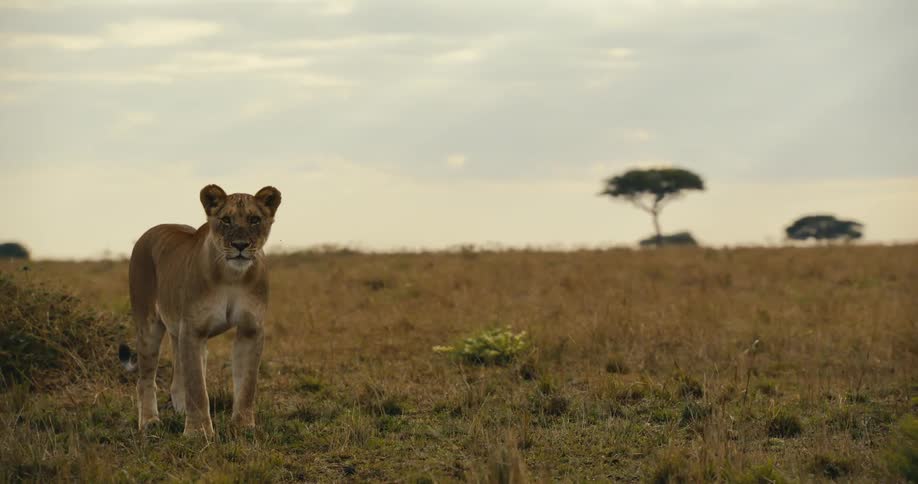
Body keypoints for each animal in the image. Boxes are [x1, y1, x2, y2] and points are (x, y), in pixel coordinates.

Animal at [122, 184, 281, 436]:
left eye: (255, 219)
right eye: (226, 220)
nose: (240, 245)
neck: (232, 276)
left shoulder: (250, 328)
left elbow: (247, 384)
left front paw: (243, 427)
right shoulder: (193, 330)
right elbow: (197, 387)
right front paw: (198, 432)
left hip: (181, 333)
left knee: (178, 380)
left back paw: (179, 413)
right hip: (148, 325)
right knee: (145, 379)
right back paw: (149, 422)